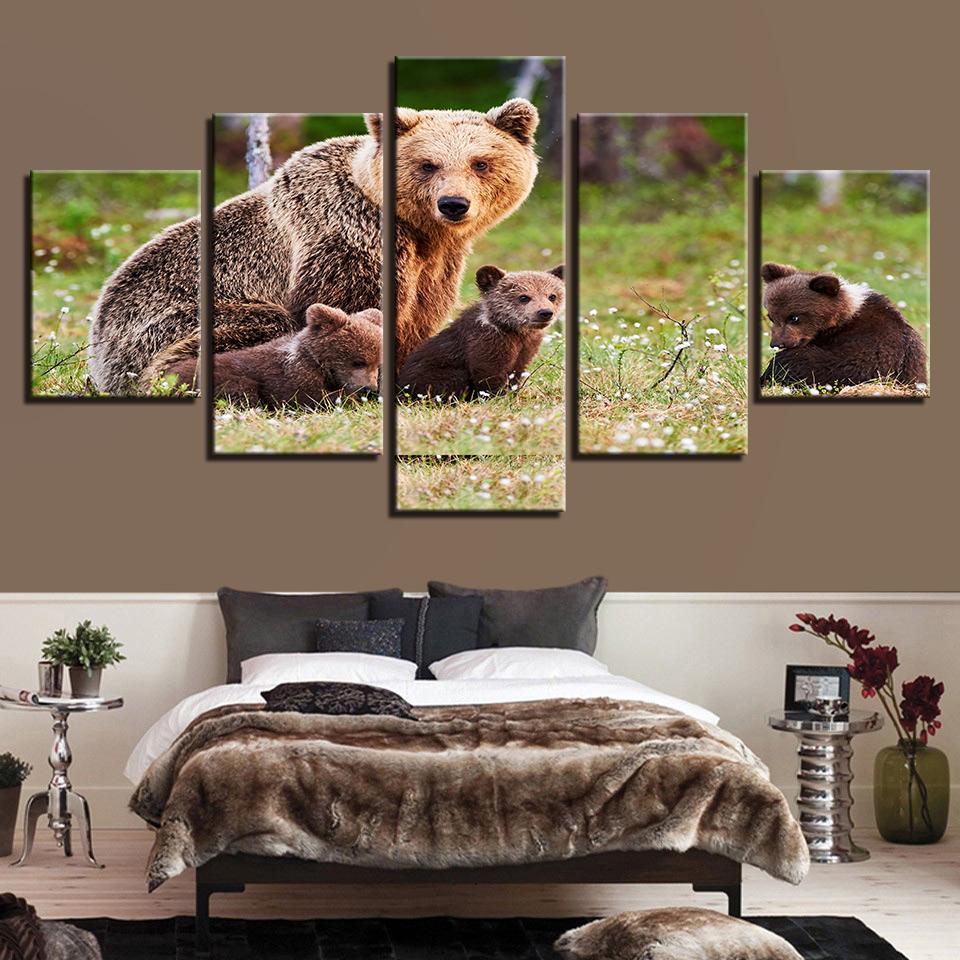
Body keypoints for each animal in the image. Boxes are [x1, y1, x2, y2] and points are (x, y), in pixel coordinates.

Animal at [88, 99, 539, 394]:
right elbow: (349, 310)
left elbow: (418, 317)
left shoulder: (436, 264)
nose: (453, 204)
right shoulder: (347, 239)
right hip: (163, 324)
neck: (417, 230)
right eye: (428, 164)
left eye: (480, 162)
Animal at [398, 264, 564, 400]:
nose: (545, 312)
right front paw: (498, 397)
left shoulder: (526, 348)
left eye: (552, 296)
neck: (514, 331)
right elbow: (488, 373)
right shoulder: (487, 342)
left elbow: (516, 373)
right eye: (524, 297)